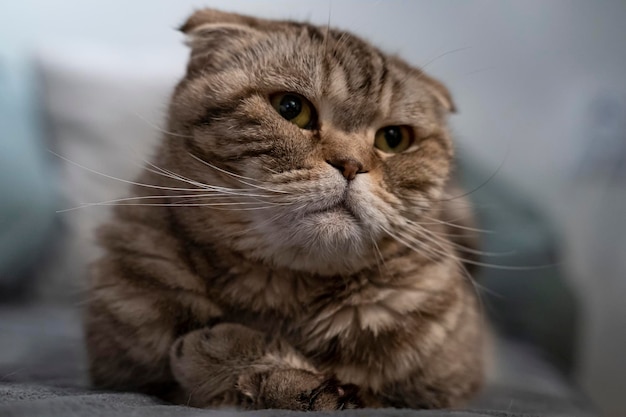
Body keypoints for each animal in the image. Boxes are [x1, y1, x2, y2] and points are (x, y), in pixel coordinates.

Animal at [84, 8, 482, 412]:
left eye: (393, 138)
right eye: (292, 108)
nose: (351, 164)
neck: (282, 294)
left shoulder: (434, 397)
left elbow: (332, 390)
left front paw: (223, 356)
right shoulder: (121, 369)